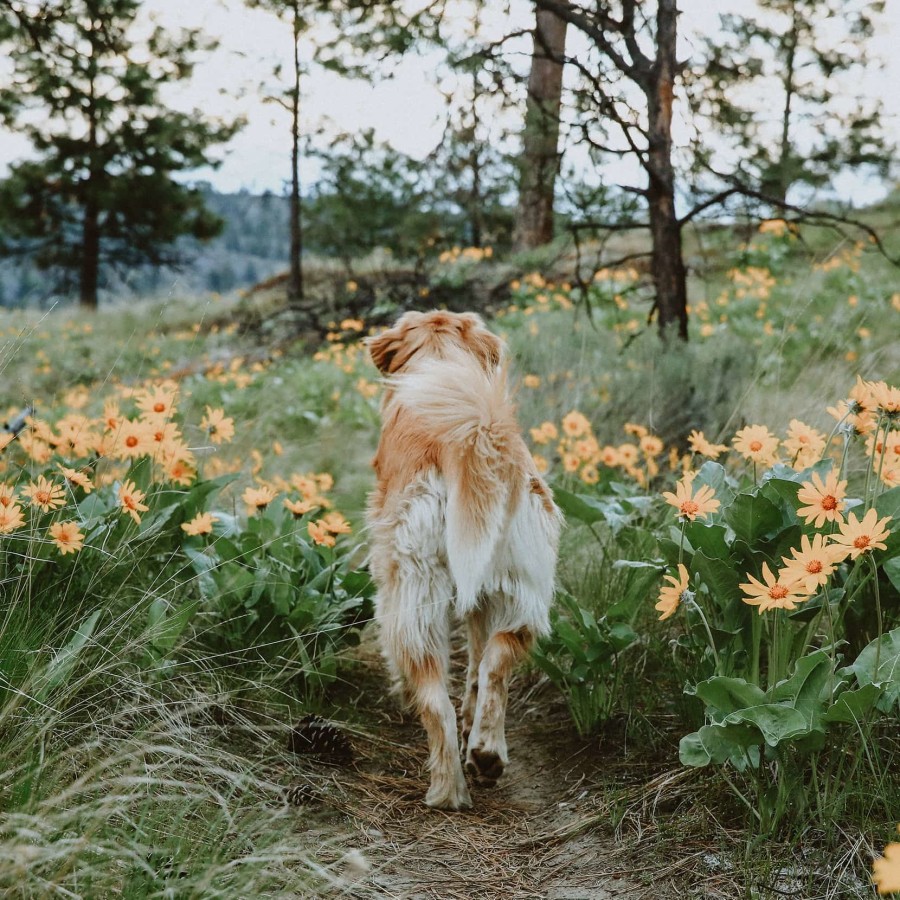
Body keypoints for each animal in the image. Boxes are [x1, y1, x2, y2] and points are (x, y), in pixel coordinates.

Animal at [366, 310, 564, 808]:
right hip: (518, 584)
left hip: (413, 586)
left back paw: (447, 788)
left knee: (434, 697)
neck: (440, 360)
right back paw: (487, 751)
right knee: (496, 661)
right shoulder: (485, 591)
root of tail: (471, 437)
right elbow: (477, 660)